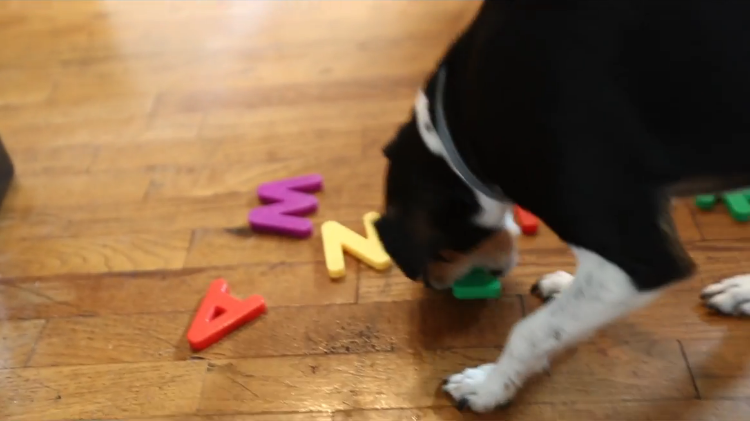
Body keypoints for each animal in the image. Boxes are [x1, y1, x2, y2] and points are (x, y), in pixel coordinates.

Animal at [376, 0, 750, 412]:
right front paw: (565, 284)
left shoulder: (642, 258)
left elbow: (531, 329)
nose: (434, 285)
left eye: (442, 253)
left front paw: (489, 386)